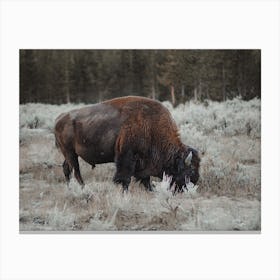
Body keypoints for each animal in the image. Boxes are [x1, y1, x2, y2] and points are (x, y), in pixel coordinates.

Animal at [54, 96, 199, 192]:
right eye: (190, 170)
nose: (193, 185)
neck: (152, 126)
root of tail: (60, 118)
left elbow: (145, 179)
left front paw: (151, 190)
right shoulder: (127, 156)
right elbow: (125, 178)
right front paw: (125, 193)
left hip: (69, 154)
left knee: (66, 168)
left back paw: (70, 188)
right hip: (70, 153)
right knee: (76, 171)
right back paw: (83, 188)